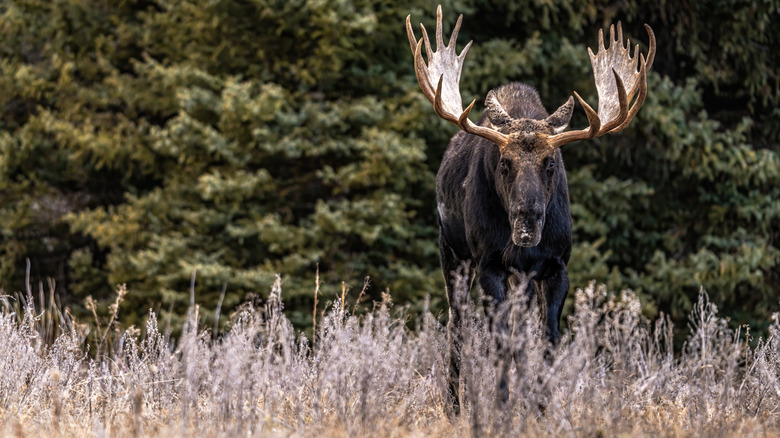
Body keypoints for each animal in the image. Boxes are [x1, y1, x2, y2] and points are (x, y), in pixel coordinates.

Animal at [406, 5, 655, 412]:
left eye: (551, 163)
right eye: (504, 162)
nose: (527, 224)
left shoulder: (556, 266)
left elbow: (547, 340)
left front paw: (540, 406)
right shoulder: (489, 263)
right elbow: (501, 341)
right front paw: (502, 404)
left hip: (519, 278)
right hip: (453, 252)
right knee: (457, 327)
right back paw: (455, 405)